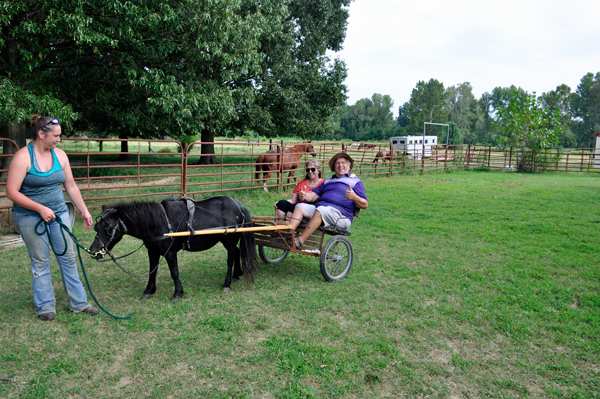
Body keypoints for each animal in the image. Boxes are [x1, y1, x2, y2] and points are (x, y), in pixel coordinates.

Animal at [89, 197, 258, 300]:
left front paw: (178, 293)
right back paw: (236, 275)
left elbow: (174, 273)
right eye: (96, 227)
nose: (94, 251)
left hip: (229, 240)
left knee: (230, 259)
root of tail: (239, 206)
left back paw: (227, 283)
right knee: (237, 253)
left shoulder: (170, 253)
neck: (158, 222)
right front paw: (149, 290)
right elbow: (152, 271)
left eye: (108, 229)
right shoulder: (153, 252)